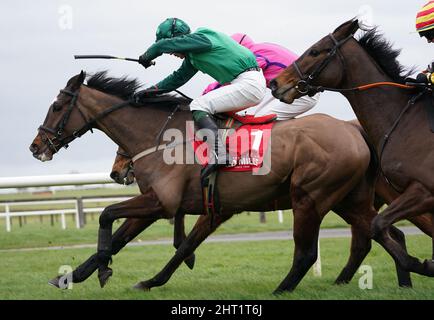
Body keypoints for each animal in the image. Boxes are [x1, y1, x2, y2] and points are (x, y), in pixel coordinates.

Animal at [28, 70, 406, 292]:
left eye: (57, 106)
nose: (35, 146)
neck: (162, 136)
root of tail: (353, 130)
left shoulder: (161, 203)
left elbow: (108, 215)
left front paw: (102, 271)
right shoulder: (169, 205)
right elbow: (132, 238)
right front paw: (74, 276)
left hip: (310, 197)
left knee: (309, 252)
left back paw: (282, 289)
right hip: (348, 199)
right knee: (385, 234)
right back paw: (405, 278)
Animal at [272, 18, 434, 278]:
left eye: (315, 51)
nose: (275, 83)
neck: (405, 120)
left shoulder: (423, 190)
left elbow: (377, 225)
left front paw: (422, 265)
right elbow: (376, 227)